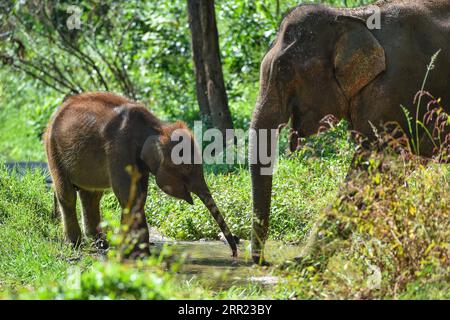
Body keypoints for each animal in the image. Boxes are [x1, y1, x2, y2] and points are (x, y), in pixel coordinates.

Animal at [44, 92, 237, 258]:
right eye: (187, 169)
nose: (233, 254)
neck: (157, 127)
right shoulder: (119, 148)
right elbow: (128, 194)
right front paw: (139, 254)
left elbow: (139, 195)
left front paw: (133, 251)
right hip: (53, 150)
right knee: (67, 194)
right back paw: (75, 244)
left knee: (91, 195)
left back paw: (100, 243)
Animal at [248, 1, 450, 264]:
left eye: (284, 70)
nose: (263, 261)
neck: (350, 17)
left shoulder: (393, 92)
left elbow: (370, 172)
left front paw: (300, 264)